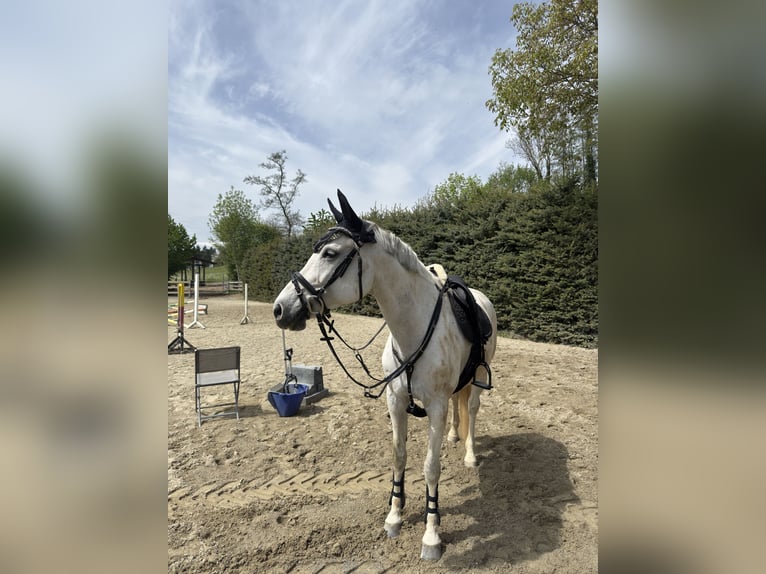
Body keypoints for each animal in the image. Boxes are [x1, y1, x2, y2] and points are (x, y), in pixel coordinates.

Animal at [273, 190, 497, 560]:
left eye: (330, 253)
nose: (280, 309)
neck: (414, 328)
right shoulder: (395, 400)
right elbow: (398, 456)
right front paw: (394, 516)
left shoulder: (435, 407)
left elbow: (430, 467)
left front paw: (431, 535)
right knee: (458, 404)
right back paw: (454, 436)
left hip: (479, 378)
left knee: (473, 409)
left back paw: (469, 454)